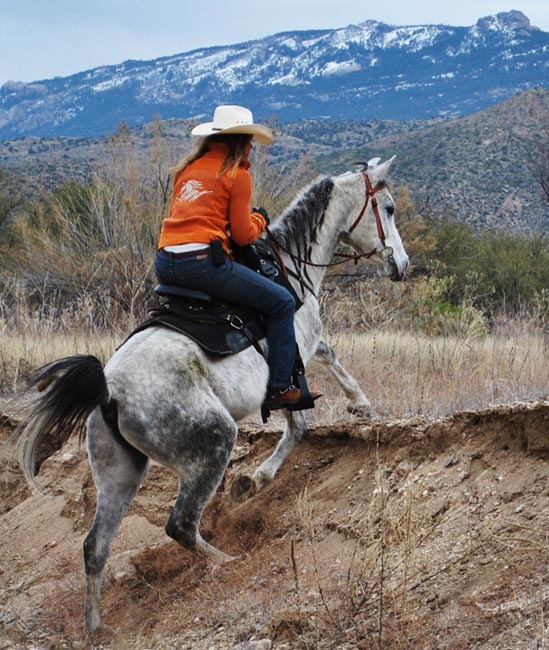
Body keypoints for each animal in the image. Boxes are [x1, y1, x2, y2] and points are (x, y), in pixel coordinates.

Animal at [17, 154, 406, 632]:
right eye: (388, 208)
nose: (402, 264)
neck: (289, 267)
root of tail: (110, 392)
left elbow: (311, 393)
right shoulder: (296, 352)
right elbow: (305, 407)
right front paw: (351, 407)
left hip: (119, 474)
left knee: (95, 547)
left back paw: (95, 627)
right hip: (213, 444)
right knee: (180, 525)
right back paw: (225, 562)